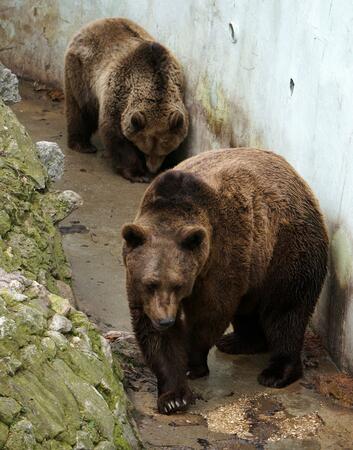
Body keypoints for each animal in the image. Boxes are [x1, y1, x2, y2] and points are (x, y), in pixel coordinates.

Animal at [64, 17, 188, 183]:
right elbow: (115, 134)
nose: (152, 169)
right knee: (81, 108)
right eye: (145, 150)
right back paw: (82, 145)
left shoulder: (178, 85)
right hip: (82, 71)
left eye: (164, 151)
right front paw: (137, 174)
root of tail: (93, 23)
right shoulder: (119, 93)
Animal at [121, 149, 328, 414]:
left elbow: (210, 313)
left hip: (286, 250)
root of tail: (299, 179)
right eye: (151, 283)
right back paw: (238, 341)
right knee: (248, 309)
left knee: (286, 310)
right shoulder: (137, 279)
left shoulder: (220, 259)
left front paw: (192, 362)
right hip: (256, 267)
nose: (165, 320)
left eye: (178, 284)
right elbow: (153, 335)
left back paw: (277, 371)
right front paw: (173, 397)